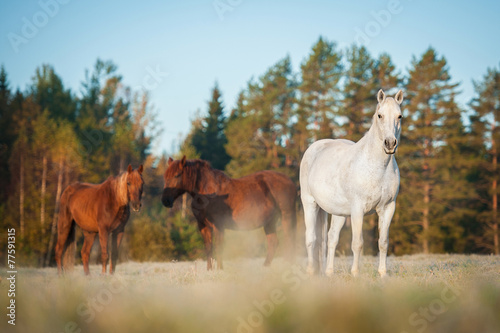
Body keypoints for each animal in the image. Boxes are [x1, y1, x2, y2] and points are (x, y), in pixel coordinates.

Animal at [161, 156, 296, 270]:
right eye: (165, 176)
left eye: (177, 175)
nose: (165, 200)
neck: (207, 193)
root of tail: (290, 181)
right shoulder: (203, 226)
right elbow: (208, 248)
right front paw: (209, 270)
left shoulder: (219, 226)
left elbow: (219, 247)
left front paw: (220, 269)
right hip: (269, 222)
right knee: (273, 243)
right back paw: (265, 267)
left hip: (286, 216)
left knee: (289, 239)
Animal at [300, 89, 402, 276]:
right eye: (380, 115)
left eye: (399, 116)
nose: (390, 144)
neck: (377, 166)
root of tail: (315, 147)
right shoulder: (357, 209)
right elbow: (357, 243)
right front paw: (355, 273)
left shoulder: (388, 208)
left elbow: (383, 242)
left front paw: (383, 274)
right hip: (309, 202)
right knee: (311, 238)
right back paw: (311, 271)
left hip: (339, 212)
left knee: (332, 238)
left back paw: (329, 272)